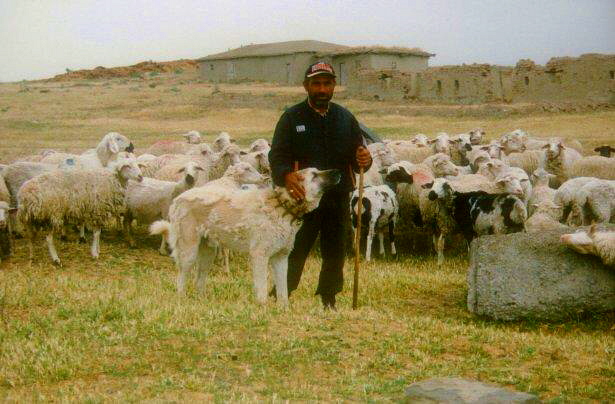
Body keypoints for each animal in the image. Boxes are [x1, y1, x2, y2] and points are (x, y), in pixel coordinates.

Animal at [150, 166, 342, 304]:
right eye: (314, 175)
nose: (338, 171)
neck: (282, 205)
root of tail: (178, 198)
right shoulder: (259, 256)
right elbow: (262, 290)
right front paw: (263, 311)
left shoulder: (281, 258)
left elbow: (283, 292)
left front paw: (283, 311)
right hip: (188, 252)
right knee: (182, 279)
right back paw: (182, 301)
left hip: (208, 254)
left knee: (199, 280)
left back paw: (202, 302)